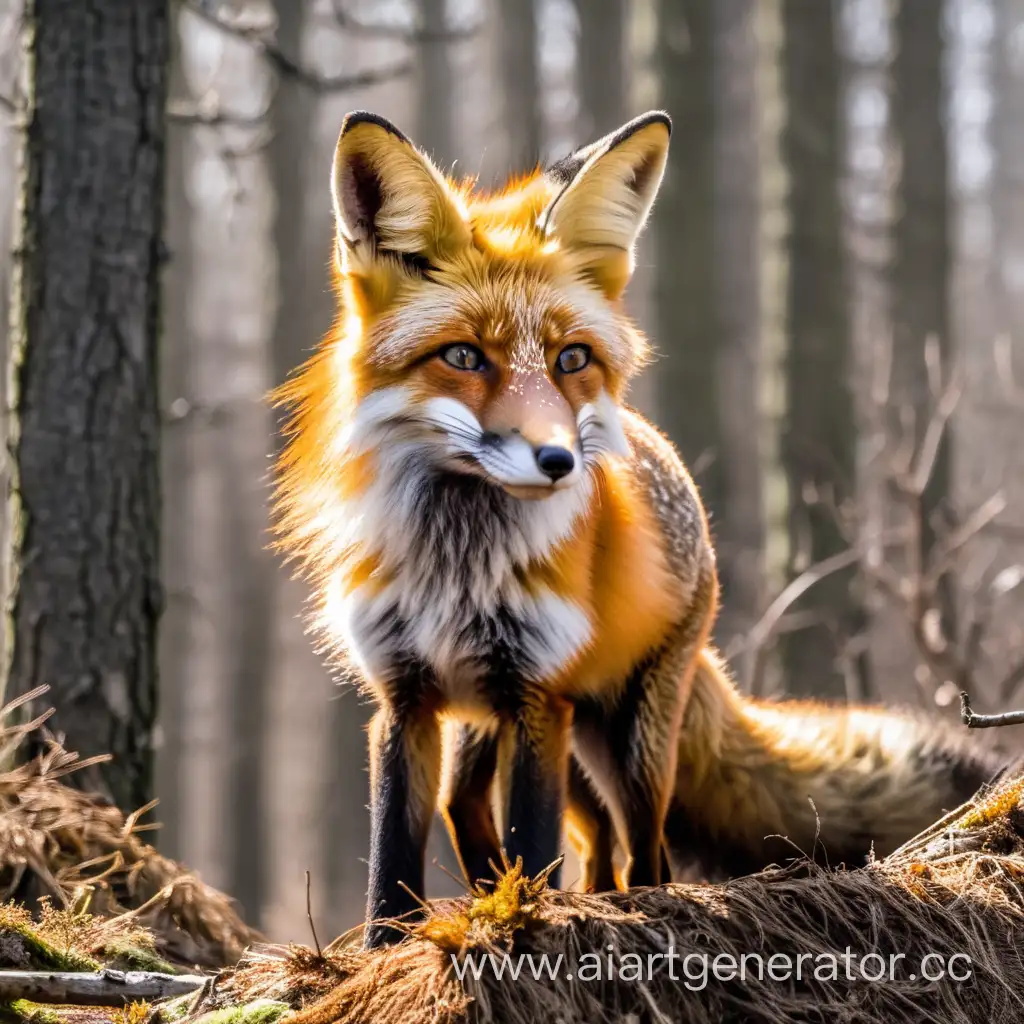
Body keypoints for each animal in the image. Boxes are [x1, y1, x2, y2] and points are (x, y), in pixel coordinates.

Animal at [274, 108, 720, 946]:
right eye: (463, 356)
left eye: (571, 358)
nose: (559, 461)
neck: (456, 565)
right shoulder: (405, 695)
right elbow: (393, 858)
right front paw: (387, 949)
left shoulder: (538, 696)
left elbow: (534, 846)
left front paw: (524, 921)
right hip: (488, 725)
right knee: (488, 812)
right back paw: (508, 888)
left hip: (629, 743)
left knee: (642, 850)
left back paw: (628, 898)